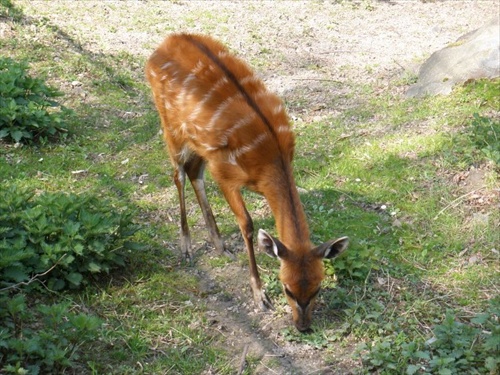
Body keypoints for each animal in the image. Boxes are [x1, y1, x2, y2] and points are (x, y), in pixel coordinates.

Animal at [145, 33, 348, 332]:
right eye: (287, 289)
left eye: (317, 288)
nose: (303, 326)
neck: (269, 159)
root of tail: (164, 43)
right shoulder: (225, 173)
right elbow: (248, 225)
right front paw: (259, 296)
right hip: (170, 125)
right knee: (178, 174)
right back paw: (186, 247)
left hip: (198, 142)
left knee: (193, 172)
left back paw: (220, 245)